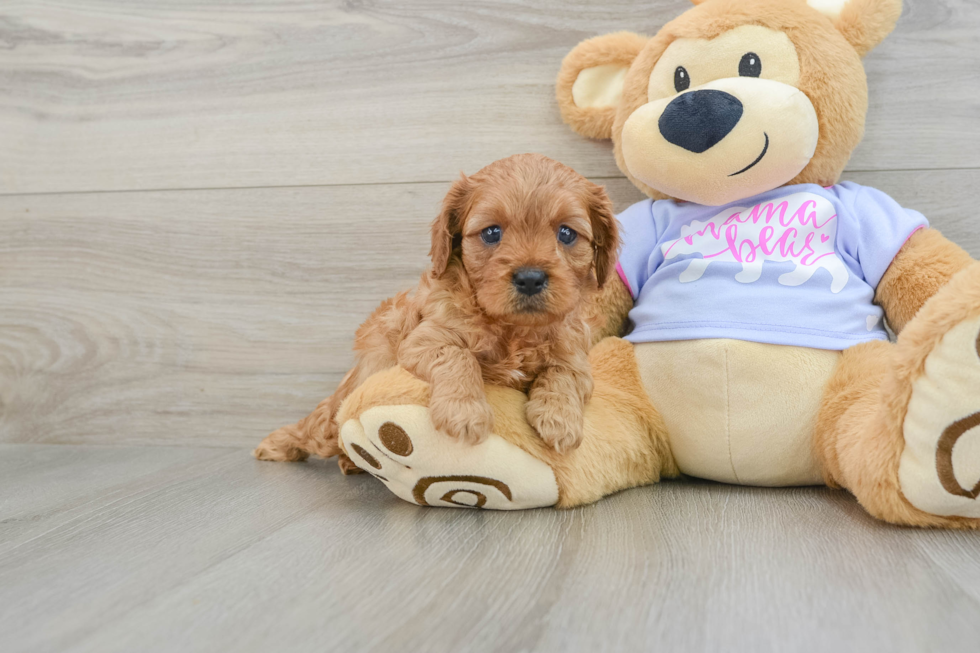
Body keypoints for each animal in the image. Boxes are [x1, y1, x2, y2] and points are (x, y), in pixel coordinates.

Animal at [253, 153, 620, 468]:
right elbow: (459, 355)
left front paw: (560, 421)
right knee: (315, 427)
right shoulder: (423, 339)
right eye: (491, 232)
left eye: (566, 233)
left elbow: (562, 376)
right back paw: (275, 445)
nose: (530, 278)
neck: (513, 328)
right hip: (339, 408)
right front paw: (465, 413)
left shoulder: (575, 357)